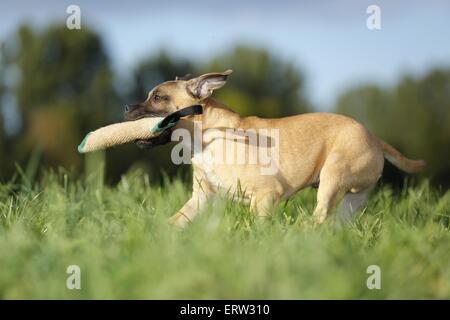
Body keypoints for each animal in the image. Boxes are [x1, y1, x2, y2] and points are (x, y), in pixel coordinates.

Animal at [123, 70, 426, 228]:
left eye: (158, 98)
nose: (127, 108)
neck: (206, 138)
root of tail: (374, 138)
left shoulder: (265, 196)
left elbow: (256, 226)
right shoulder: (201, 197)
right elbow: (177, 219)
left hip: (333, 176)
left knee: (320, 215)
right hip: (353, 197)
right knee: (336, 220)